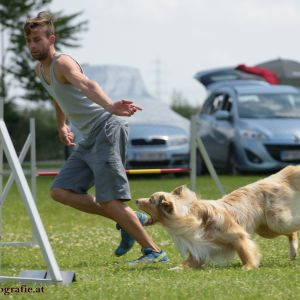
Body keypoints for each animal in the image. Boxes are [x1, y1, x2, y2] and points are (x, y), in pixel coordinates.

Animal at [136, 166, 300, 270]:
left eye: (150, 200)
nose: (136, 200)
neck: (189, 217)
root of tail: (271, 179)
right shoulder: (199, 247)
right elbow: (188, 263)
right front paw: (174, 269)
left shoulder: (237, 236)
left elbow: (245, 253)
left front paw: (248, 267)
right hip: (266, 229)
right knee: (291, 233)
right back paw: (293, 253)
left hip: (278, 221)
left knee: (293, 227)